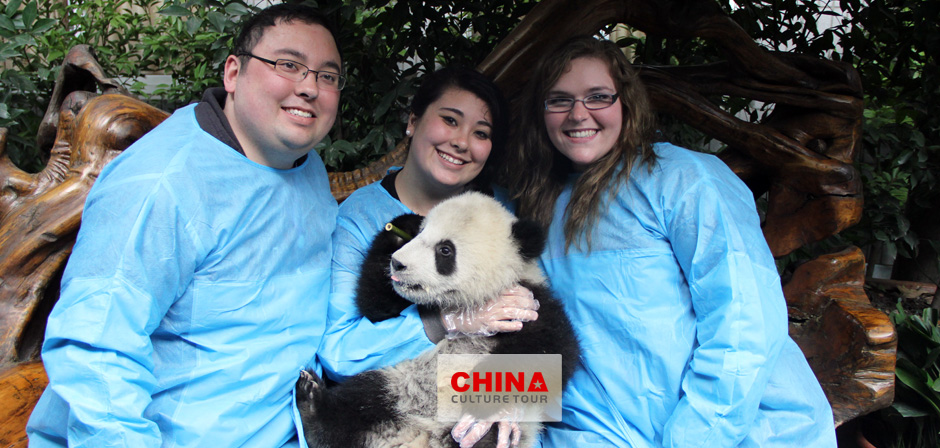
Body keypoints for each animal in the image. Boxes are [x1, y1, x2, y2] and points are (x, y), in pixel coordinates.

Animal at [300, 192, 580, 448]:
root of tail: (421, 436)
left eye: (445, 250)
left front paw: (478, 393)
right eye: (421, 233)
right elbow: (376, 308)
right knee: (358, 402)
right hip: (396, 382)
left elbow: (551, 354)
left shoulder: (529, 302)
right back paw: (312, 403)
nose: (397, 263)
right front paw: (400, 229)